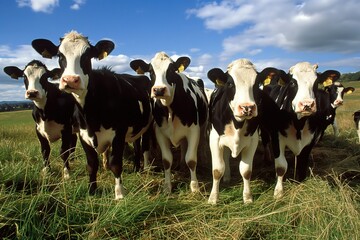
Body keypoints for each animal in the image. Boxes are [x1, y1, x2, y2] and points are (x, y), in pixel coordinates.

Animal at [31, 30, 153, 199]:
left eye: (87, 56)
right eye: (60, 55)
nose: (71, 80)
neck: (91, 113)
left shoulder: (119, 134)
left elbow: (116, 164)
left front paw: (119, 194)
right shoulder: (83, 135)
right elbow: (91, 164)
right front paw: (92, 191)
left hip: (147, 126)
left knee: (143, 147)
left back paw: (143, 168)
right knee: (136, 145)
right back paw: (136, 168)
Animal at [129, 52, 208, 193]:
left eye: (171, 70)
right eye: (151, 71)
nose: (159, 90)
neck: (170, 109)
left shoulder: (194, 131)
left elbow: (191, 159)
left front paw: (195, 187)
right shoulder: (160, 133)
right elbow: (166, 160)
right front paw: (167, 187)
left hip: (204, 125)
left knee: (203, 143)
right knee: (183, 147)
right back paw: (181, 165)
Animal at [207, 58, 280, 204]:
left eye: (257, 84)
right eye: (230, 83)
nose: (247, 107)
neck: (237, 124)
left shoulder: (252, 141)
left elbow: (246, 171)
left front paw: (247, 197)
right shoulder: (214, 139)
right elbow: (217, 170)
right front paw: (213, 198)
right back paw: (227, 177)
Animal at [260, 62, 342, 199]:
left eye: (316, 83)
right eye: (293, 83)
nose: (307, 104)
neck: (299, 124)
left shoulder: (310, 141)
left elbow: (302, 165)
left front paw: (300, 186)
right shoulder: (277, 138)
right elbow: (281, 166)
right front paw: (278, 192)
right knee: (265, 141)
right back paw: (267, 158)